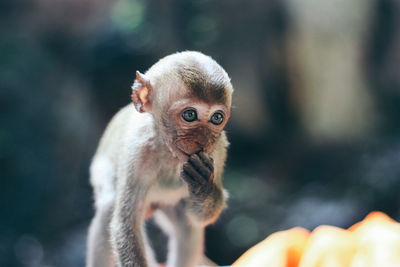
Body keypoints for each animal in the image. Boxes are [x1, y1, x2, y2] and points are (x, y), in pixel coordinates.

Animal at [86, 50, 233, 267]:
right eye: (190, 115)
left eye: (217, 118)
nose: (204, 141)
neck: (168, 151)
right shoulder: (138, 152)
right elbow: (125, 225)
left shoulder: (218, 150)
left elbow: (197, 219)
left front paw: (203, 185)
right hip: (100, 170)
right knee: (108, 208)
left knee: (185, 226)